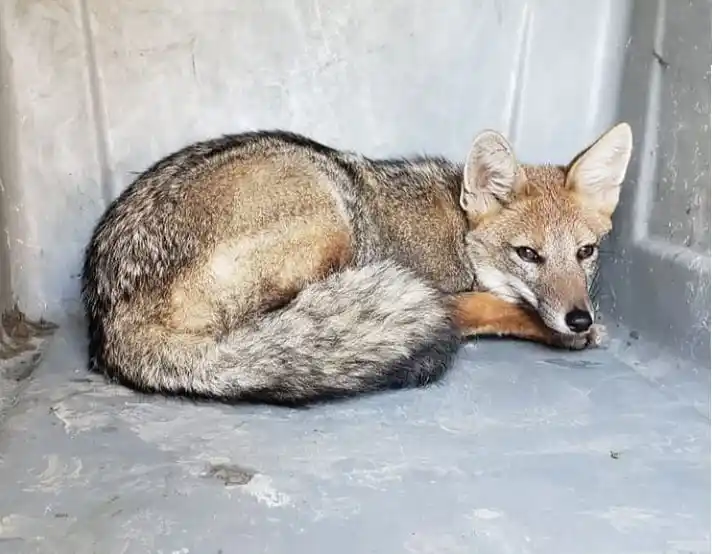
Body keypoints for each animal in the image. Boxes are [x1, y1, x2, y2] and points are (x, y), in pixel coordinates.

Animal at [81, 122, 633, 406]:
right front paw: (563, 331)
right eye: (528, 255)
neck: (456, 229)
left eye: (586, 253)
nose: (578, 317)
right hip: (331, 210)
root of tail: (111, 323)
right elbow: (493, 306)